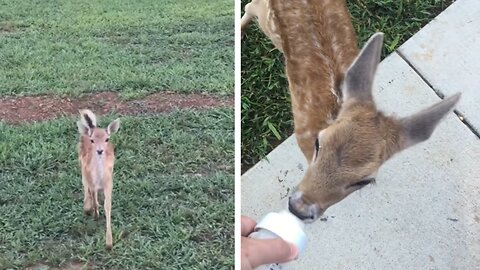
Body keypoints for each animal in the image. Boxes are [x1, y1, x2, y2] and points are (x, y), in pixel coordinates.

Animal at [77, 109, 121, 249]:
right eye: (92, 140)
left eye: (107, 139)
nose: (100, 150)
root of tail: (91, 127)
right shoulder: (91, 180)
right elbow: (93, 195)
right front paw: (94, 213)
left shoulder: (109, 183)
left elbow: (108, 206)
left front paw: (109, 243)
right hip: (81, 162)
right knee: (84, 183)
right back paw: (87, 207)